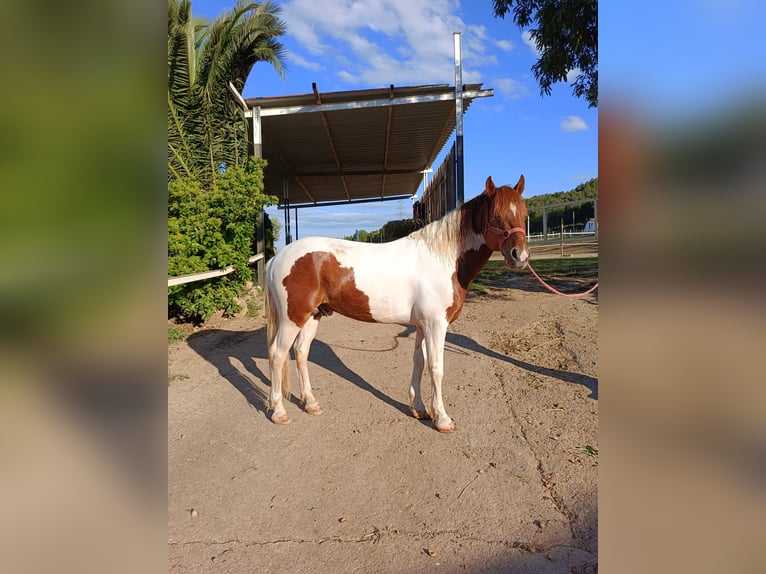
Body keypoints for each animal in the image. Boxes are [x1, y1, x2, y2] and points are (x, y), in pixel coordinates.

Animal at [262, 176, 528, 432]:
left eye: (524, 214)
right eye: (496, 215)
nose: (520, 256)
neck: (443, 259)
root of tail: (277, 257)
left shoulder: (421, 326)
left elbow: (419, 362)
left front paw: (419, 409)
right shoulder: (436, 325)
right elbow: (436, 367)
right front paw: (442, 419)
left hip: (312, 316)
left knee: (301, 352)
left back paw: (310, 403)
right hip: (292, 319)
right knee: (277, 354)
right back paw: (279, 412)